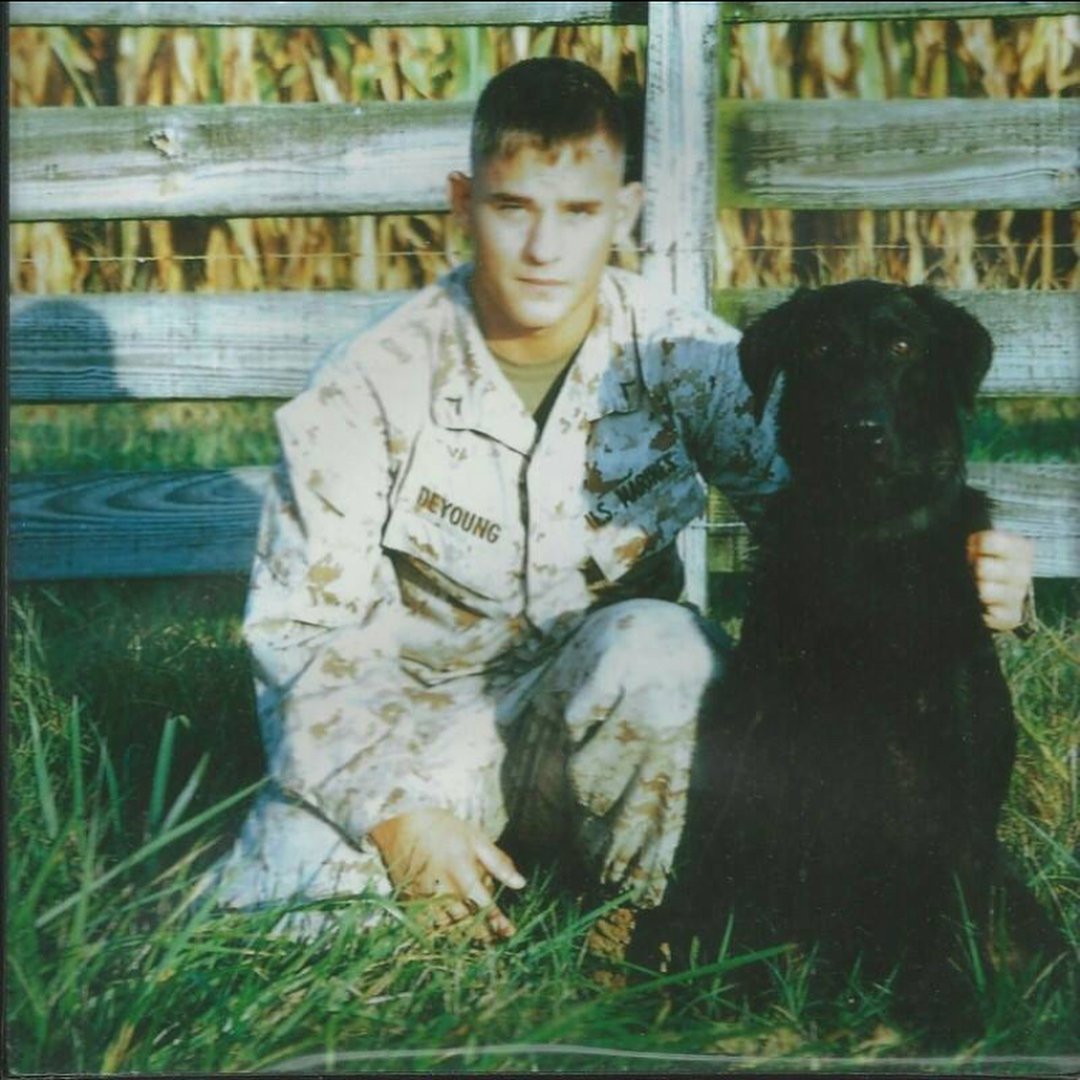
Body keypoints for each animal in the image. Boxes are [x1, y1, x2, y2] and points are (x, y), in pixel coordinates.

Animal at [669, 278, 1058, 1019]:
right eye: (820, 350)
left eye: (903, 346)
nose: (861, 431)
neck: (865, 538)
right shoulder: (771, 744)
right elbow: (749, 893)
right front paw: (733, 994)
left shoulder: (957, 775)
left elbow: (951, 904)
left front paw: (954, 1012)